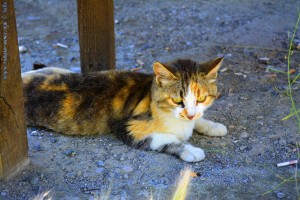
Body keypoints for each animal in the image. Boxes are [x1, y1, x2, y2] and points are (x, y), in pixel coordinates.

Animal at [21, 56, 227, 162]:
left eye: (201, 98)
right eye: (177, 100)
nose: (190, 114)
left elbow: (199, 119)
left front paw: (213, 126)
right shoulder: (126, 126)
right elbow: (164, 139)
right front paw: (190, 150)